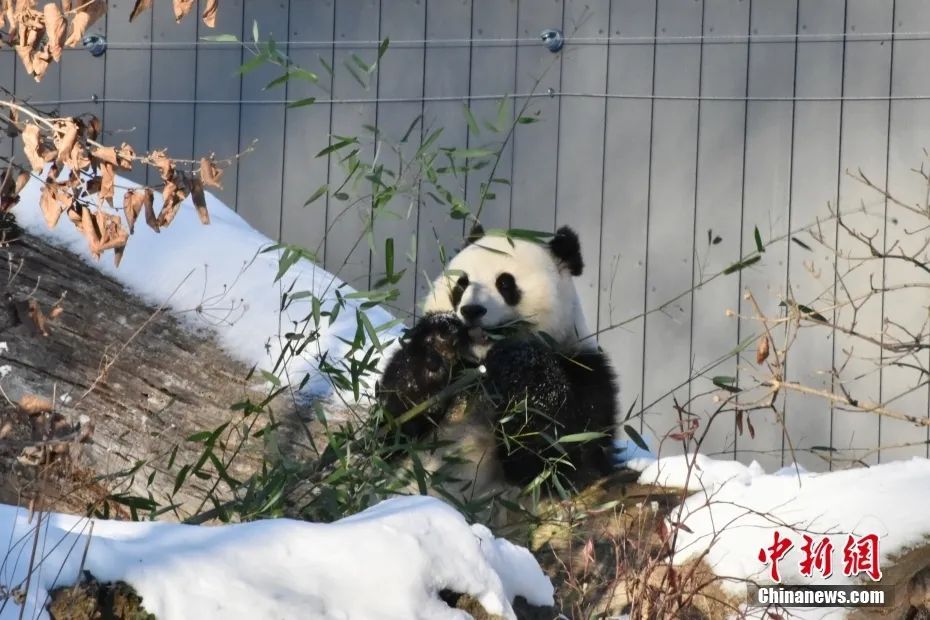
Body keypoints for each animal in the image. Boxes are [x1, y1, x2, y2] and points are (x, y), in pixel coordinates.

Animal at [376, 225, 616, 516]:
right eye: (462, 283)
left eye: (505, 283)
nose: (471, 310)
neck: (481, 366)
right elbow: (394, 428)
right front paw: (440, 339)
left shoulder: (585, 371)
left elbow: (557, 454)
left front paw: (519, 360)